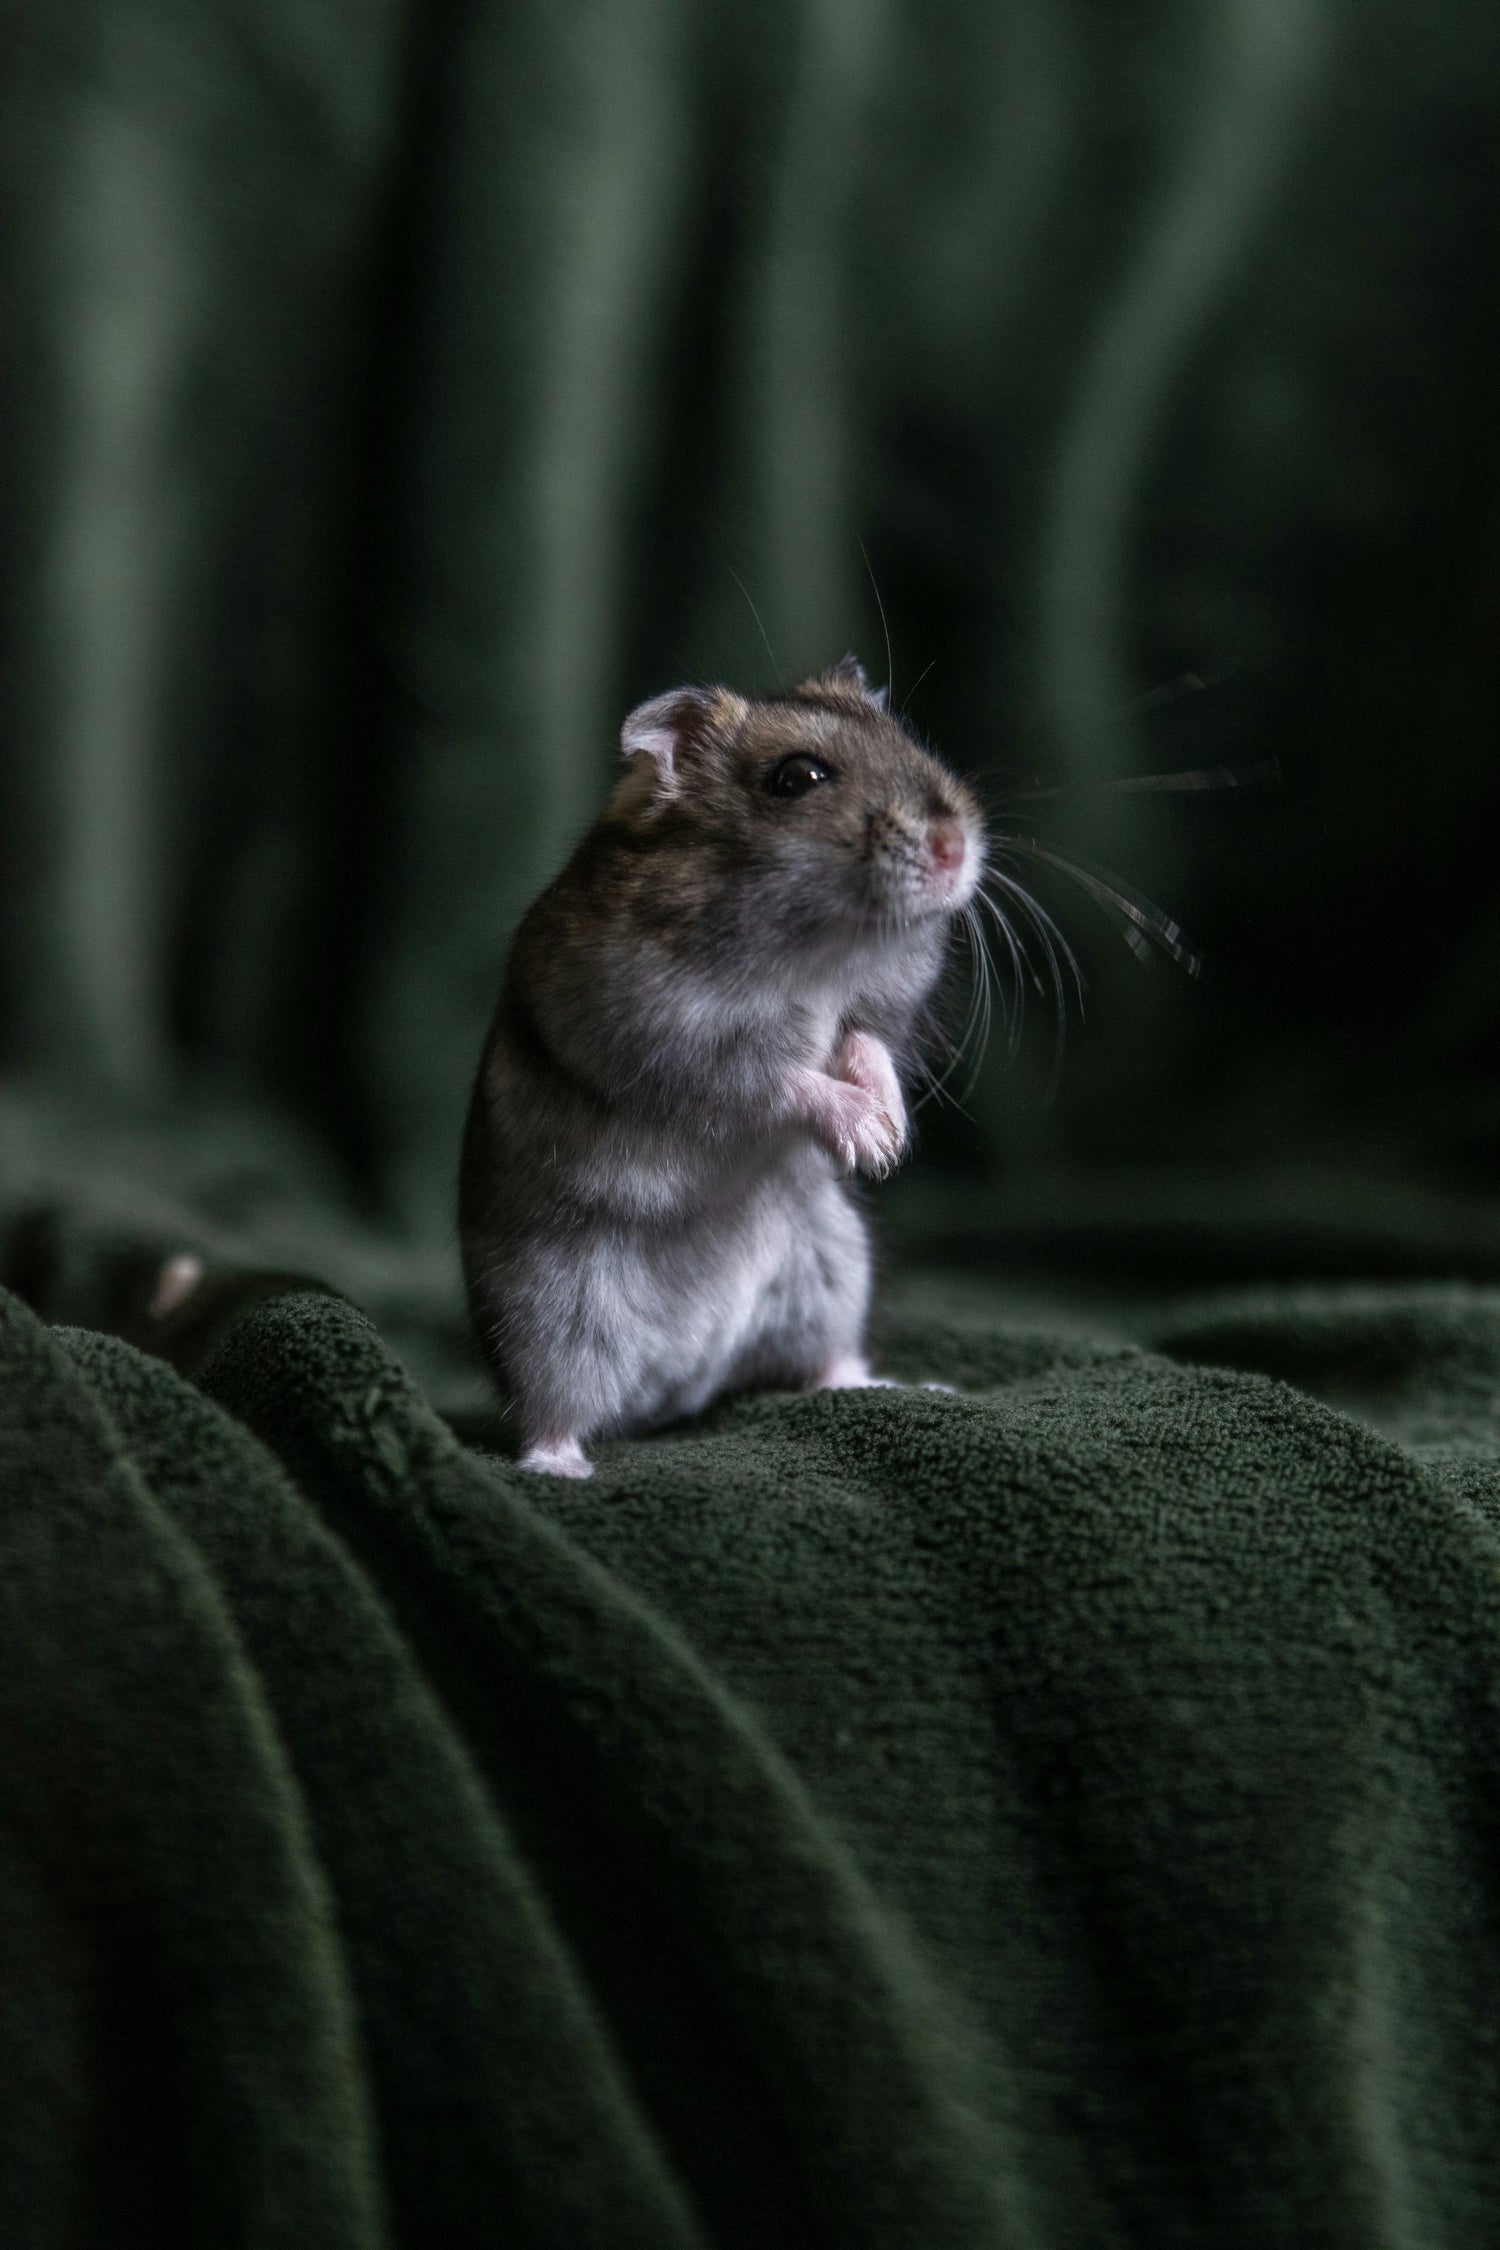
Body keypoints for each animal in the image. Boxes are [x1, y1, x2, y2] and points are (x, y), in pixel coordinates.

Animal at [458, 656, 983, 1477]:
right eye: (796, 778)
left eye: (908, 740)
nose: (957, 849)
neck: (819, 952)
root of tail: (682, 1386)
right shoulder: (672, 1041)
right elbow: (780, 1079)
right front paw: (870, 1139)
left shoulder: (874, 1010)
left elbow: (864, 1045)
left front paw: (891, 1138)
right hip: (548, 1317)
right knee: (550, 1412)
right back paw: (561, 1468)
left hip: (832, 1268)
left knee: (829, 1363)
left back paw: (910, 1387)